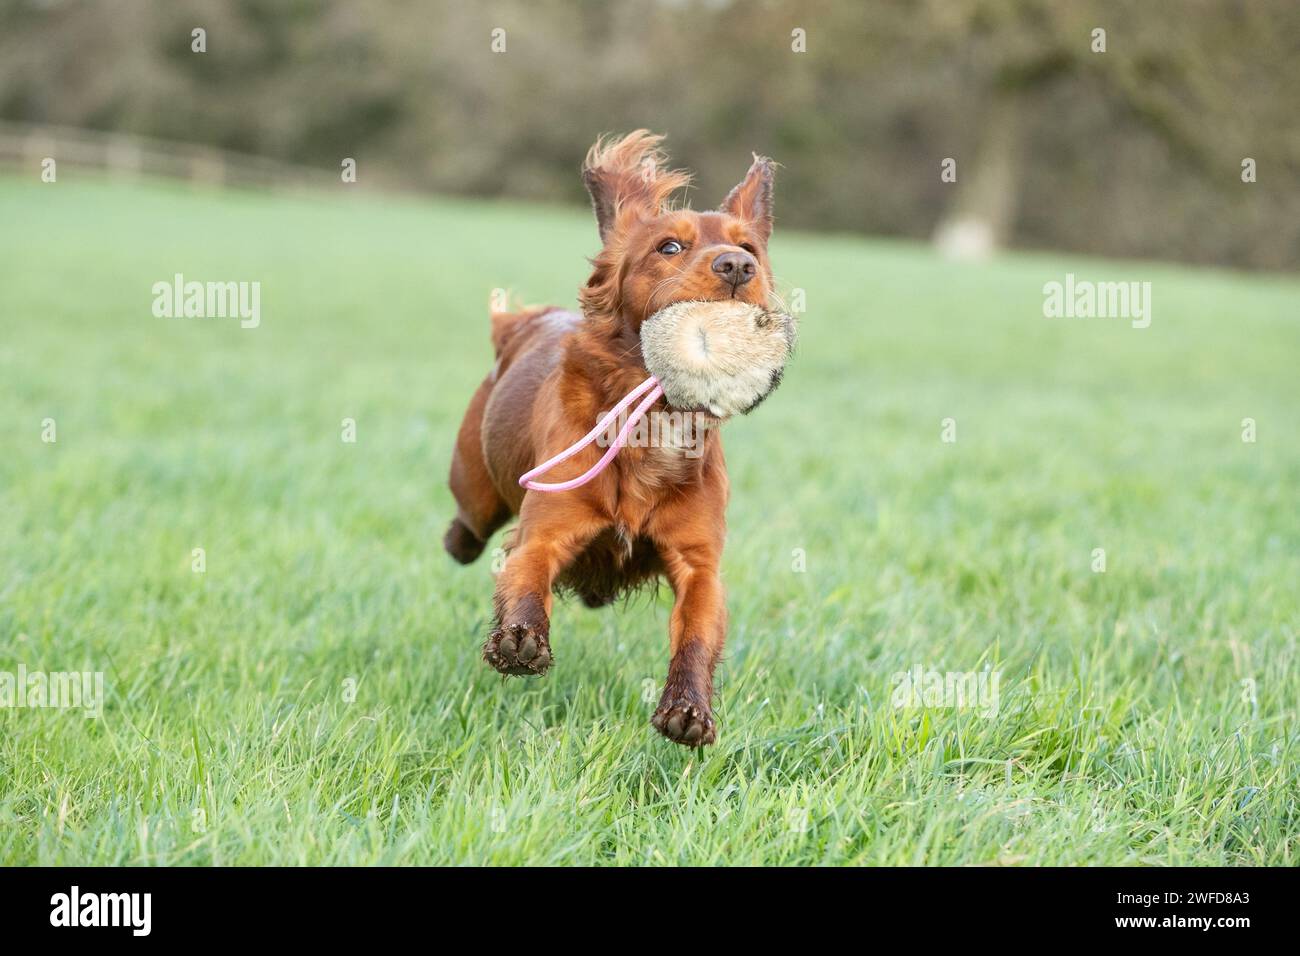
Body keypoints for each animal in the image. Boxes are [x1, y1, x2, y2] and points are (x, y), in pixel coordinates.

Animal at [447, 132, 774, 749]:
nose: (737, 266)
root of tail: (528, 322)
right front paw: (520, 638)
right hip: (476, 493)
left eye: (751, 249)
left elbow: (698, 631)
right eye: (670, 246)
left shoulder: (700, 562)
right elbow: (526, 575)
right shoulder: (544, 531)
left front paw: (688, 708)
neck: (653, 421)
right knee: (467, 533)